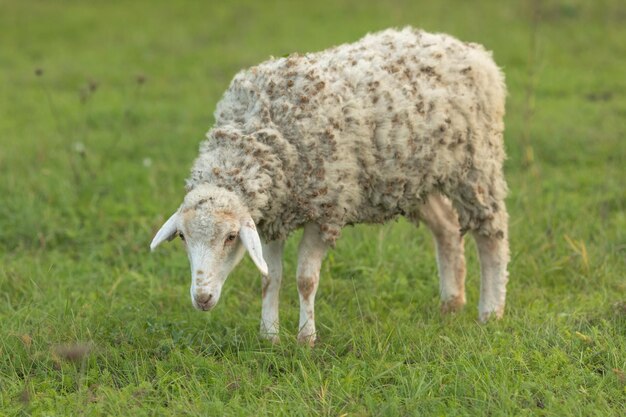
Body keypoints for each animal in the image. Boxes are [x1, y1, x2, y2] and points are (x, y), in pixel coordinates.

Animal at [150, 26, 508, 344]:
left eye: (230, 237)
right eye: (182, 237)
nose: (202, 299)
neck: (261, 128)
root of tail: (473, 50)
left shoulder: (325, 211)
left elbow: (305, 279)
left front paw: (306, 338)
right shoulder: (273, 215)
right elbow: (270, 278)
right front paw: (269, 336)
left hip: (476, 166)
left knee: (491, 235)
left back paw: (490, 311)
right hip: (415, 178)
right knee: (446, 227)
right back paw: (451, 302)